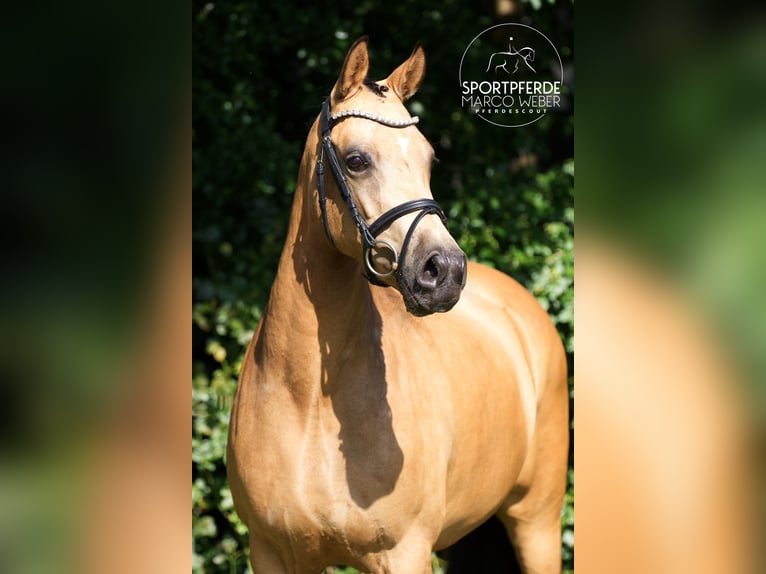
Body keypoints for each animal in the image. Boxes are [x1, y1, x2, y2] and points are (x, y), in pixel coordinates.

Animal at [228, 38, 568, 572]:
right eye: (356, 160)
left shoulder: (403, 551)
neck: (309, 399)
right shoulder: (274, 553)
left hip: (537, 523)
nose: (444, 271)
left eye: (429, 159)